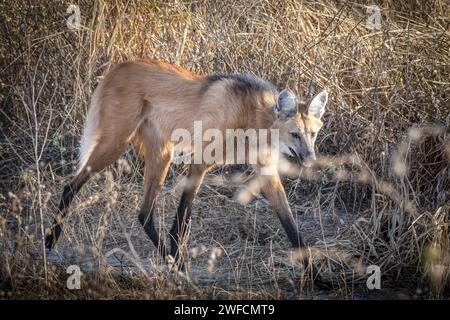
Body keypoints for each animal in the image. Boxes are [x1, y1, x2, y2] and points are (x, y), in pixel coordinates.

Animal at [45, 60, 328, 288]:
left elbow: (292, 228)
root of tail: (117, 67)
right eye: (295, 134)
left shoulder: (266, 173)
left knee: (144, 213)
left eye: (312, 134)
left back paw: (170, 262)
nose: (311, 160)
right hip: (116, 143)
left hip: (162, 155)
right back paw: (50, 240)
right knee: (71, 185)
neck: (253, 120)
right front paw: (180, 261)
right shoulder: (201, 160)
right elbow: (182, 218)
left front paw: (316, 277)